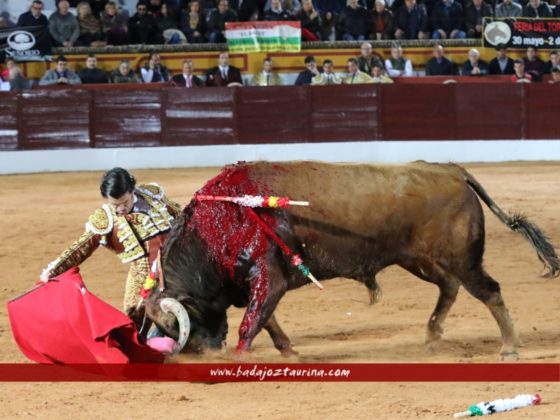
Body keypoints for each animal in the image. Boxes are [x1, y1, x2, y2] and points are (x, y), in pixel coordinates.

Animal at [145, 162, 560, 360]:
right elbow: (267, 320)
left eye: (177, 325)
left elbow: (253, 322)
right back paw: (431, 337)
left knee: (489, 291)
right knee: (449, 287)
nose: (202, 354)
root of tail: (451, 170)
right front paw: (289, 350)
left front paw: (240, 359)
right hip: (420, 261)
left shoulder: (269, 276)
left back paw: (509, 347)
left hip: (462, 259)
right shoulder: (258, 282)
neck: (220, 223)